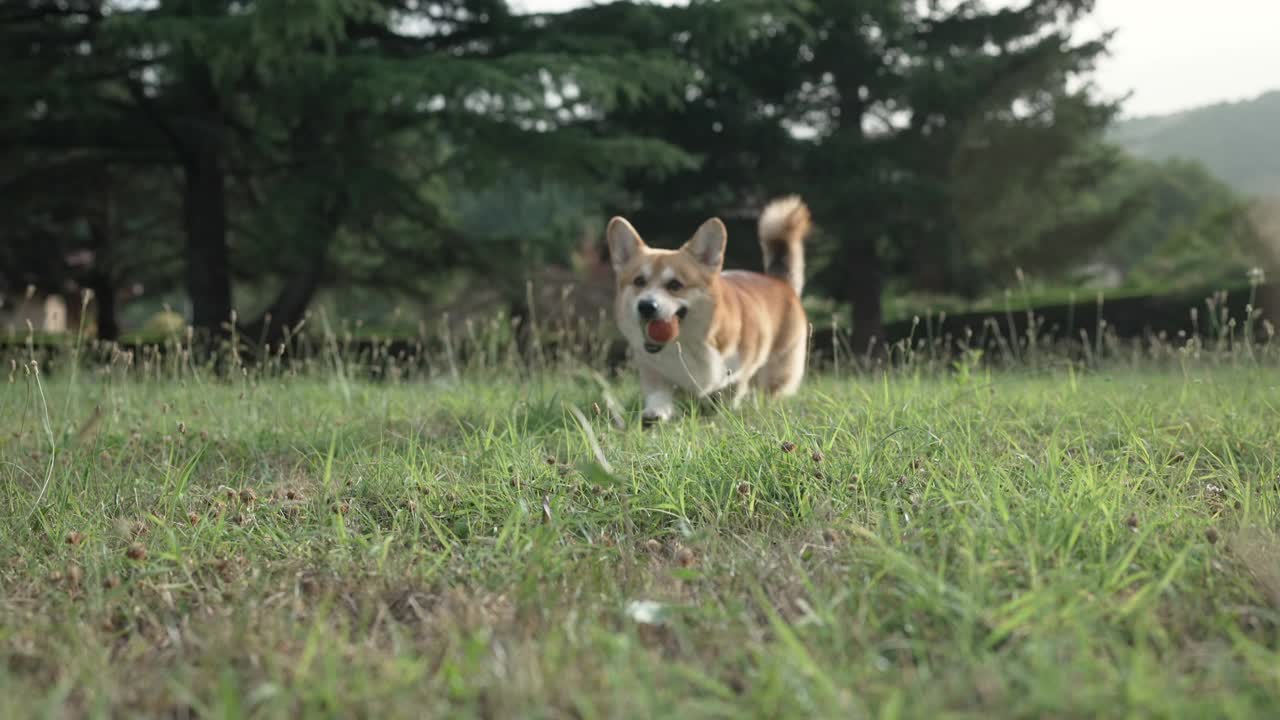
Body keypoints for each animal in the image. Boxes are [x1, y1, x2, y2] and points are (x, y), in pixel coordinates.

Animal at [606, 193, 808, 422]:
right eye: (639, 281)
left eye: (675, 285)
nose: (646, 306)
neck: (686, 344)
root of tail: (780, 282)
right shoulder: (653, 369)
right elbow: (658, 393)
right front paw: (655, 414)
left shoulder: (737, 374)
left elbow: (730, 394)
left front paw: (722, 415)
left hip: (777, 369)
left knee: (766, 391)